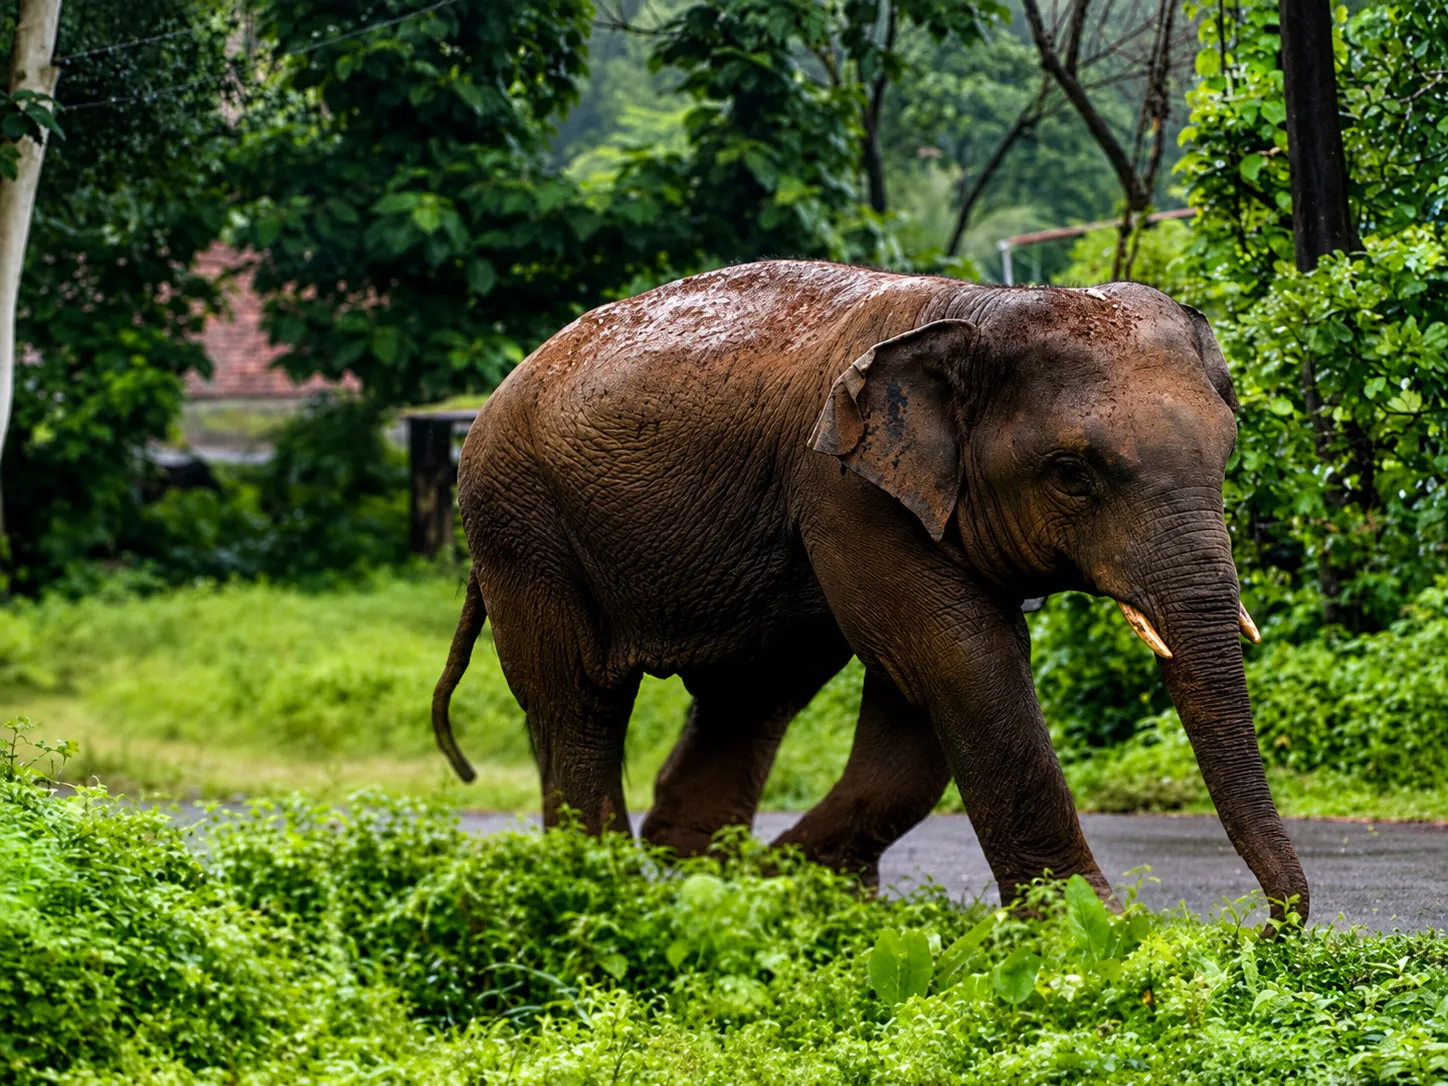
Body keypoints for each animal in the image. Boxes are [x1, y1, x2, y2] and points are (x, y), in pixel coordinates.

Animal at [431, 259, 1309, 920]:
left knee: (751, 695)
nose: (1269, 930)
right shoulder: (844, 485)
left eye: (1228, 454)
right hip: (521, 525)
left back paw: (703, 883)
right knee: (580, 701)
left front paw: (804, 892)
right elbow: (961, 660)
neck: (979, 309)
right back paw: (606, 890)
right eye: (1071, 474)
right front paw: (1094, 934)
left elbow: (921, 691)